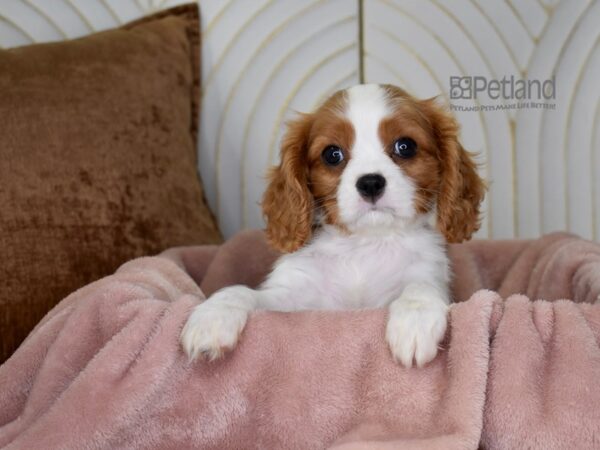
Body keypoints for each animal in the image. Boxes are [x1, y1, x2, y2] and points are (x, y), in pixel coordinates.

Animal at [180, 85, 486, 370]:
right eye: (332, 154)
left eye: (405, 146)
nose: (370, 182)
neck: (364, 243)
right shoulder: (295, 295)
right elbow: (243, 291)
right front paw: (212, 316)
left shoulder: (426, 272)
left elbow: (421, 287)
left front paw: (415, 320)